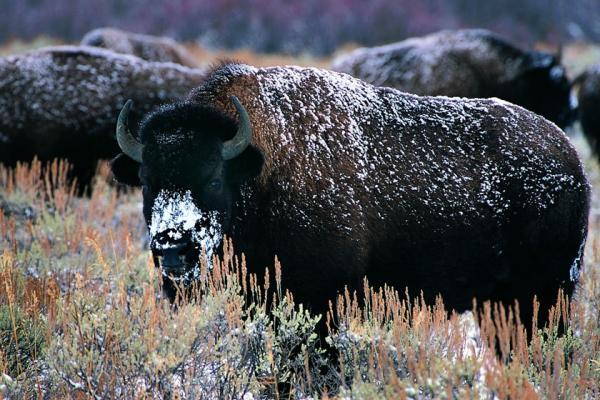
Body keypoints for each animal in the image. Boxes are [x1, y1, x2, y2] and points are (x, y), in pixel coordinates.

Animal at [112, 62, 592, 332]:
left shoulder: (319, 298)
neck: (260, 167)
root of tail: (571, 159)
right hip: (500, 304)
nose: (173, 250)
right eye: (148, 181)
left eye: (212, 178)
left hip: (545, 295)